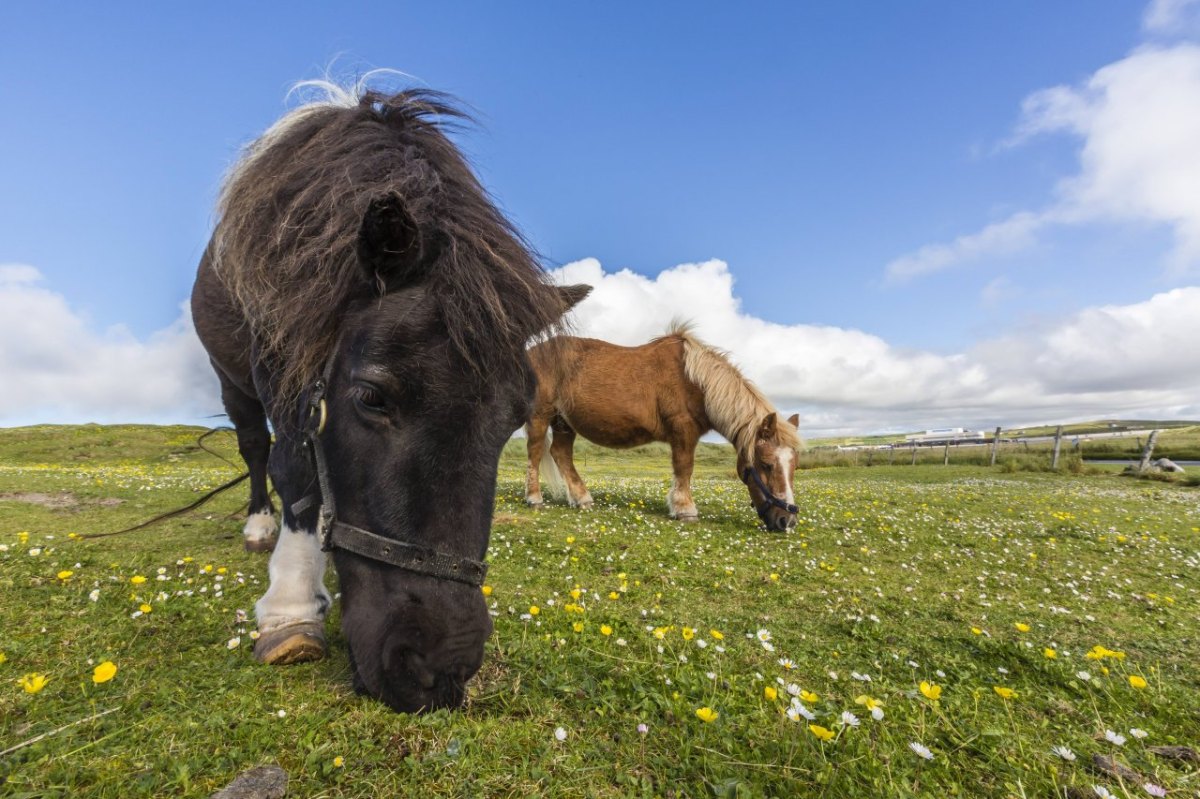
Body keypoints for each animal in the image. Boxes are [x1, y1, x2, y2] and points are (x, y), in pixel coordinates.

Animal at [189, 80, 588, 710]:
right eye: (372, 397)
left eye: (514, 417)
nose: (438, 669)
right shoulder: (278, 356)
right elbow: (294, 468)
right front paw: (291, 606)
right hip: (230, 379)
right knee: (254, 448)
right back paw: (259, 525)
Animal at [523, 321, 796, 525]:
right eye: (766, 464)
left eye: (794, 466)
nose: (787, 521)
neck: (695, 381)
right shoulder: (683, 431)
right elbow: (684, 468)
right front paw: (685, 509)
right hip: (541, 415)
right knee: (535, 452)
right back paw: (534, 498)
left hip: (563, 422)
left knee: (561, 454)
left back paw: (582, 499)